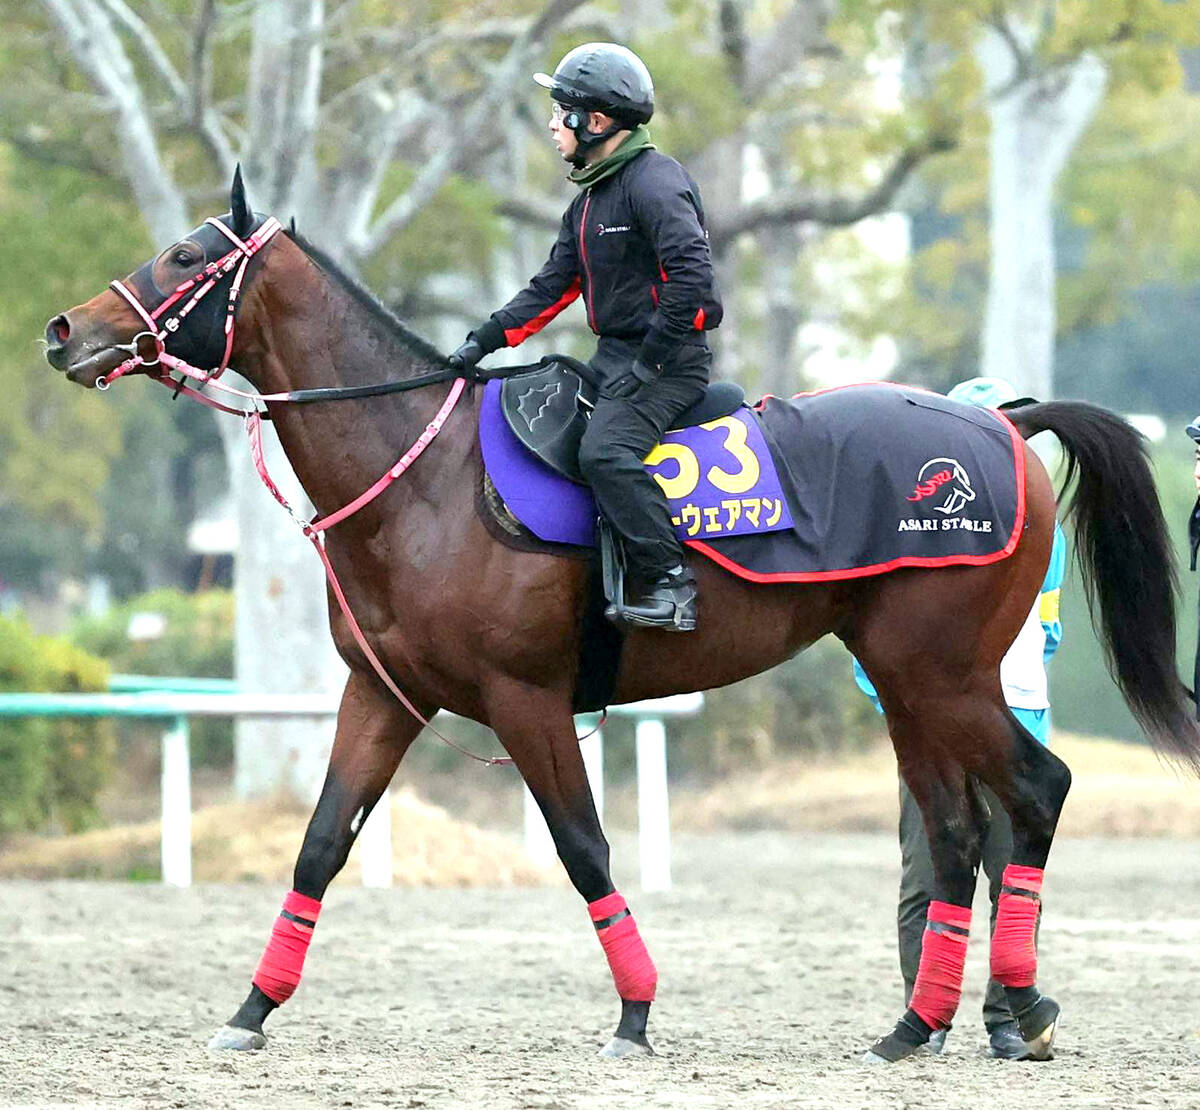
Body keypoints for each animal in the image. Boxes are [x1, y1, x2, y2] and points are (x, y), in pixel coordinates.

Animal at [43, 171, 1200, 1063]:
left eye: (182, 252)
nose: (65, 331)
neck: (427, 476)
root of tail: (1002, 426)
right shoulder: (383, 692)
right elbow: (321, 845)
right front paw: (251, 1009)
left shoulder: (527, 698)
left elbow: (584, 848)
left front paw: (637, 1013)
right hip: (905, 678)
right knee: (957, 830)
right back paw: (913, 1028)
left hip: (945, 673)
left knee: (1036, 789)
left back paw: (1022, 1008)